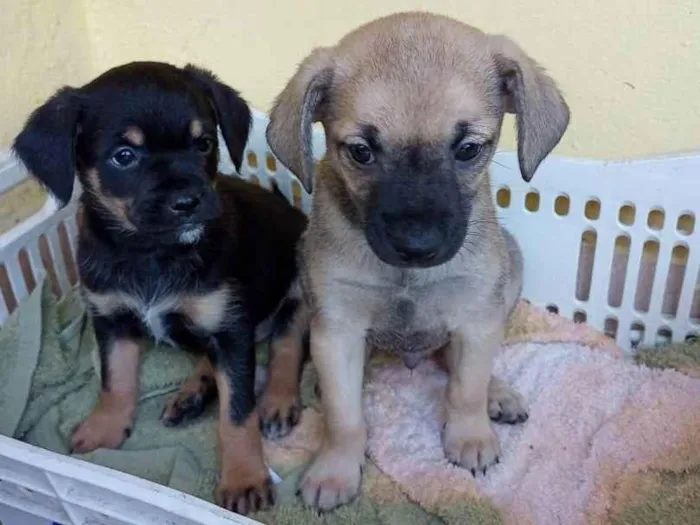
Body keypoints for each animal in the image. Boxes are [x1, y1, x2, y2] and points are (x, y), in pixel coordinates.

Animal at [12, 60, 308, 512]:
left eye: (204, 144)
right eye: (124, 156)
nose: (188, 202)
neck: (152, 253)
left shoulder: (230, 331)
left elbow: (238, 413)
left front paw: (244, 478)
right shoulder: (111, 319)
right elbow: (115, 378)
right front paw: (104, 429)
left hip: (297, 296)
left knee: (287, 346)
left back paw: (276, 402)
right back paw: (192, 394)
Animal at [266, 12, 568, 510]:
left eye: (468, 148)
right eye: (361, 151)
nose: (417, 245)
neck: (405, 276)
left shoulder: (476, 319)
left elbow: (466, 387)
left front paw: (469, 437)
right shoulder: (337, 330)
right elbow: (343, 417)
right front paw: (335, 469)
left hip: (509, 274)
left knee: (457, 359)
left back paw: (497, 393)